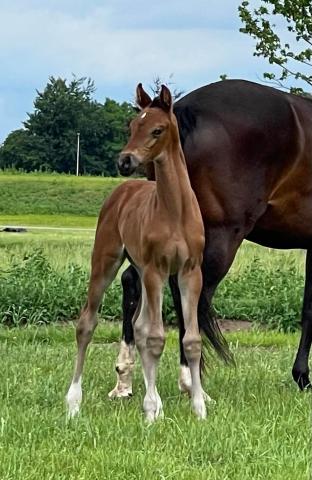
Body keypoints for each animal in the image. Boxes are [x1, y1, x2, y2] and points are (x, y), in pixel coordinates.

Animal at [66, 84, 206, 422]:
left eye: (157, 129)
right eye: (131, 127)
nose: (124, 161)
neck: (175, 211)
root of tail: (123, 190)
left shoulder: (190, 271)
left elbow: (191, 339)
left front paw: (199, 408)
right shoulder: (157, 269)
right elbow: (155, 338)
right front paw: (152, 411)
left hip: (142, 271)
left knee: (140, 327)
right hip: (106, 261)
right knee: (86, 323)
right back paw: (73, 402)